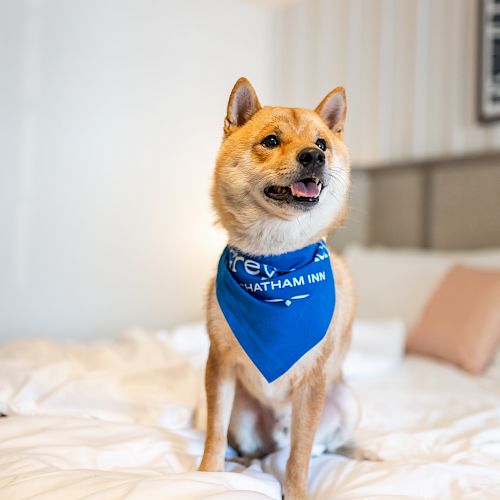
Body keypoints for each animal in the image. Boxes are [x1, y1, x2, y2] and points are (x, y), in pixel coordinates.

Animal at [197, 78, 358, 500]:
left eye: (321, 144)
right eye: (270, 140)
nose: (313, 157)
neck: (274, 263)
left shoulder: (313, 380)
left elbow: (300, 455)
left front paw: (296, 491)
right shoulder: (219, 363)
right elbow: (214, 432)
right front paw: (206, 476)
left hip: (344, 399)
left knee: (318, 447)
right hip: (243, 412)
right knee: (258, 449)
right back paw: (243, 464)